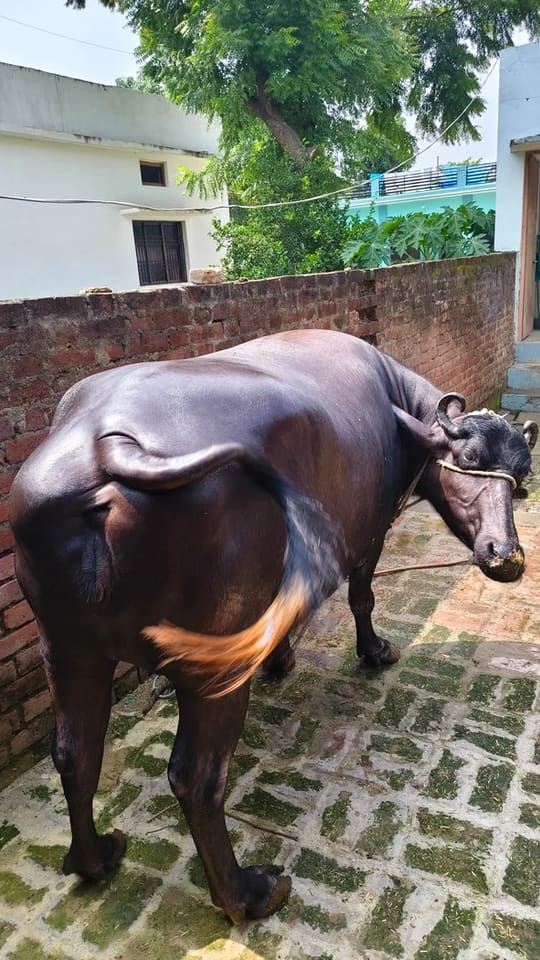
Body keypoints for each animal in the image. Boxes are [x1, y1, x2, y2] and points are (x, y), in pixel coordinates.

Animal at [9, 329, 537, 923]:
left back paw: (95, 858)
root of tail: (107, 442)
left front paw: (281, 660)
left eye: (522, 475)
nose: (507, 556)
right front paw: (375, 651)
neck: (402, 412)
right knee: (196, 779)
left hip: (66, 649)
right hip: (206, 670)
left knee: (74, 752)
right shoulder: (372, 534)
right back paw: (249, 893)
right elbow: (361, 596)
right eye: (468, 459)